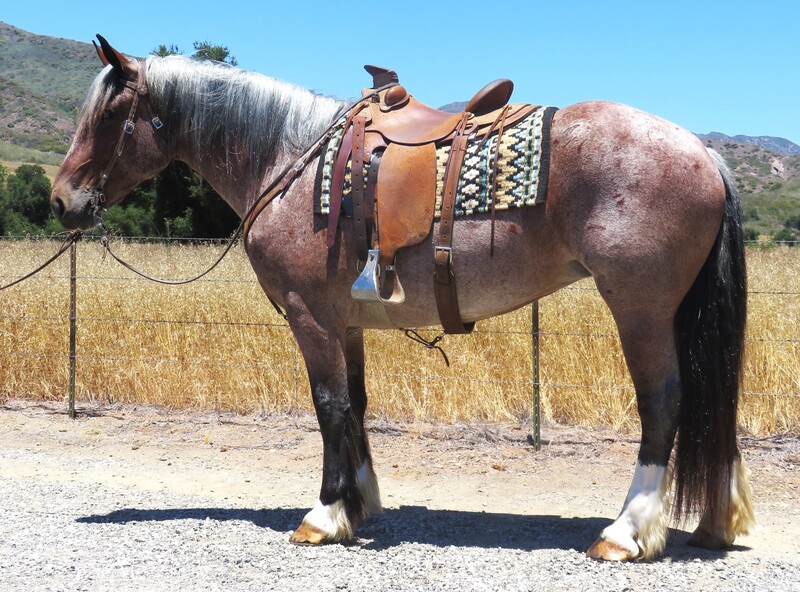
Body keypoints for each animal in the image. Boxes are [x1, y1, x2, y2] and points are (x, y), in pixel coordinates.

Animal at [51, 36, 754, 561]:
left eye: (110, 116)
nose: (62, 201)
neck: (288, 159)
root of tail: (703, 153)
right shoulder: (345, 321)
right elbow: (355, 404)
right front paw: (360, 503)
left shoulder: (310, 315)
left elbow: (329, 404)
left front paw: (325, 512)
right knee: (710, 399)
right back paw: (716, 521)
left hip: (640, 309)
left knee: (664, 404)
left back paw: (626, 531)